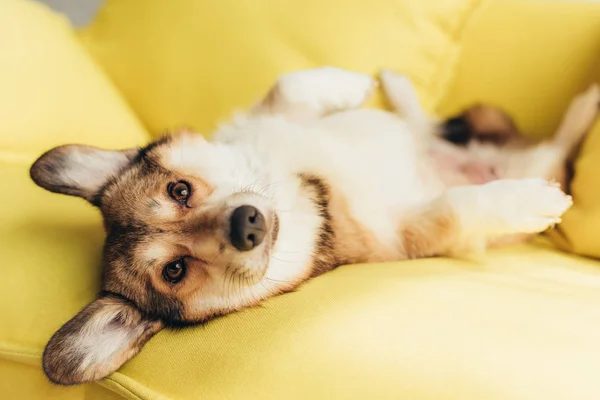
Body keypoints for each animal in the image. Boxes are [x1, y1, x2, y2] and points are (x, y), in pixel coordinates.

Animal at [30, 68, 596, 384]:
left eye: (179, 191)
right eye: (175, 271)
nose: (248, 224)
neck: (290, 191)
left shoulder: (273, 117)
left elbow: (290, 85)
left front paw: (351, 84)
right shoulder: (409, 229)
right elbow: (462, 206)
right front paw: (529, 201)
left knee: (425, 124)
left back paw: (399, 90)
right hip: (540, 160)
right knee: (558, 147)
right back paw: (582, 111)